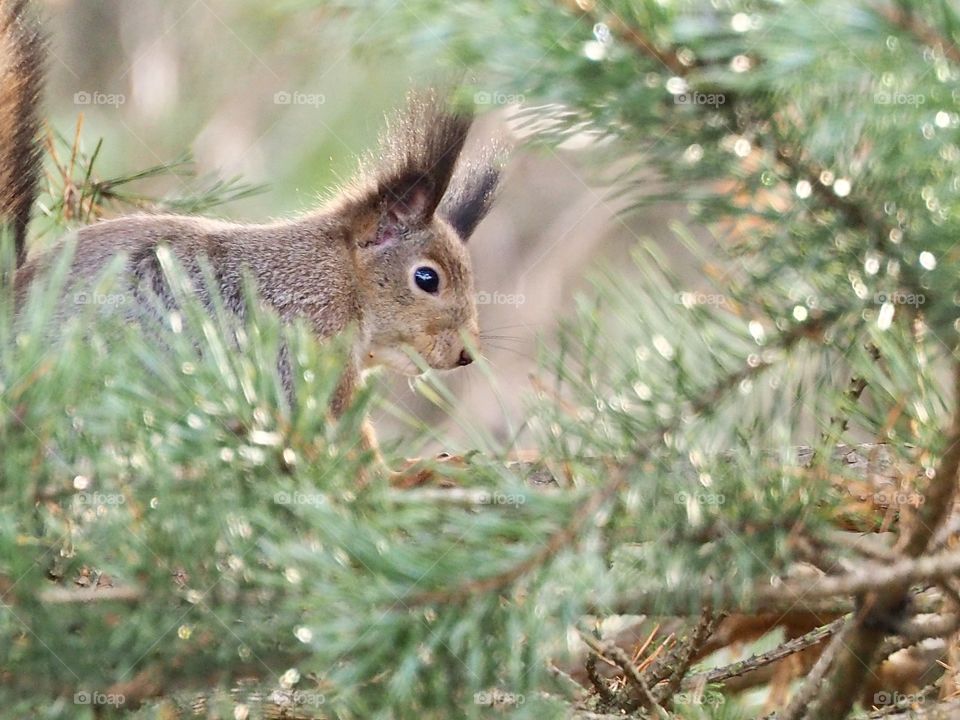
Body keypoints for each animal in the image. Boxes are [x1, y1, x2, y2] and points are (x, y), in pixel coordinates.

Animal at [1, 0, 502, 463]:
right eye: (427, 279)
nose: (467, 355)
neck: (339, 278)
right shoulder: (303, 338)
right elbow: (337, 437)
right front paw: (404, 476)